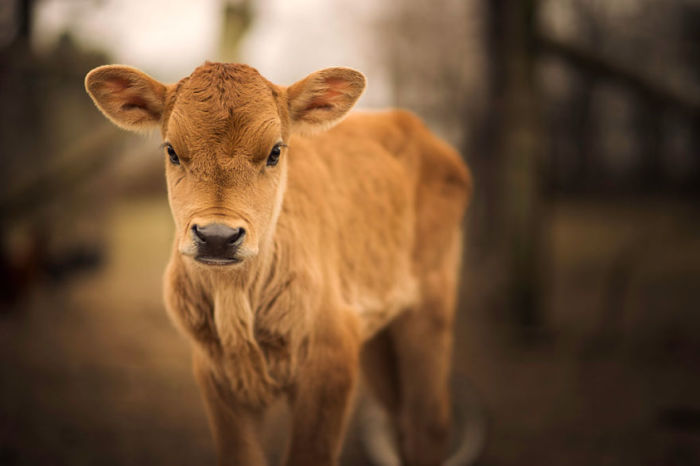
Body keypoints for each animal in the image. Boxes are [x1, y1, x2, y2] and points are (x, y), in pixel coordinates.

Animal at [85, 62, 474, 466]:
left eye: (275, 152)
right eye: (172, 151)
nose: (218, 236)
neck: (237, 304)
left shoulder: (329, 359)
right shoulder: (216, 376)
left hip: (430, 308)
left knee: (428, 424)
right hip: (378, 338)